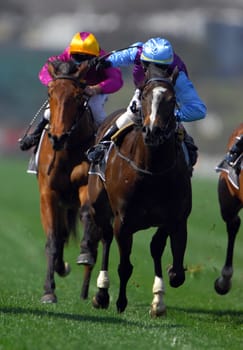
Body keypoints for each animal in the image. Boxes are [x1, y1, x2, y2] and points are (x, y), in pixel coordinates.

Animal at [83, 63, 192, 318]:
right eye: (144, 96)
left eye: (172, 99)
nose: (153, 131)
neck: (151, 170)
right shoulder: (123, 221)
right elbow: (125, 266)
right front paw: (120, 301)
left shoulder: (175, 218)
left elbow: (167, 259)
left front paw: (159, 299)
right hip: (99, 206)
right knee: (105, 238)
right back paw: (101, 293)